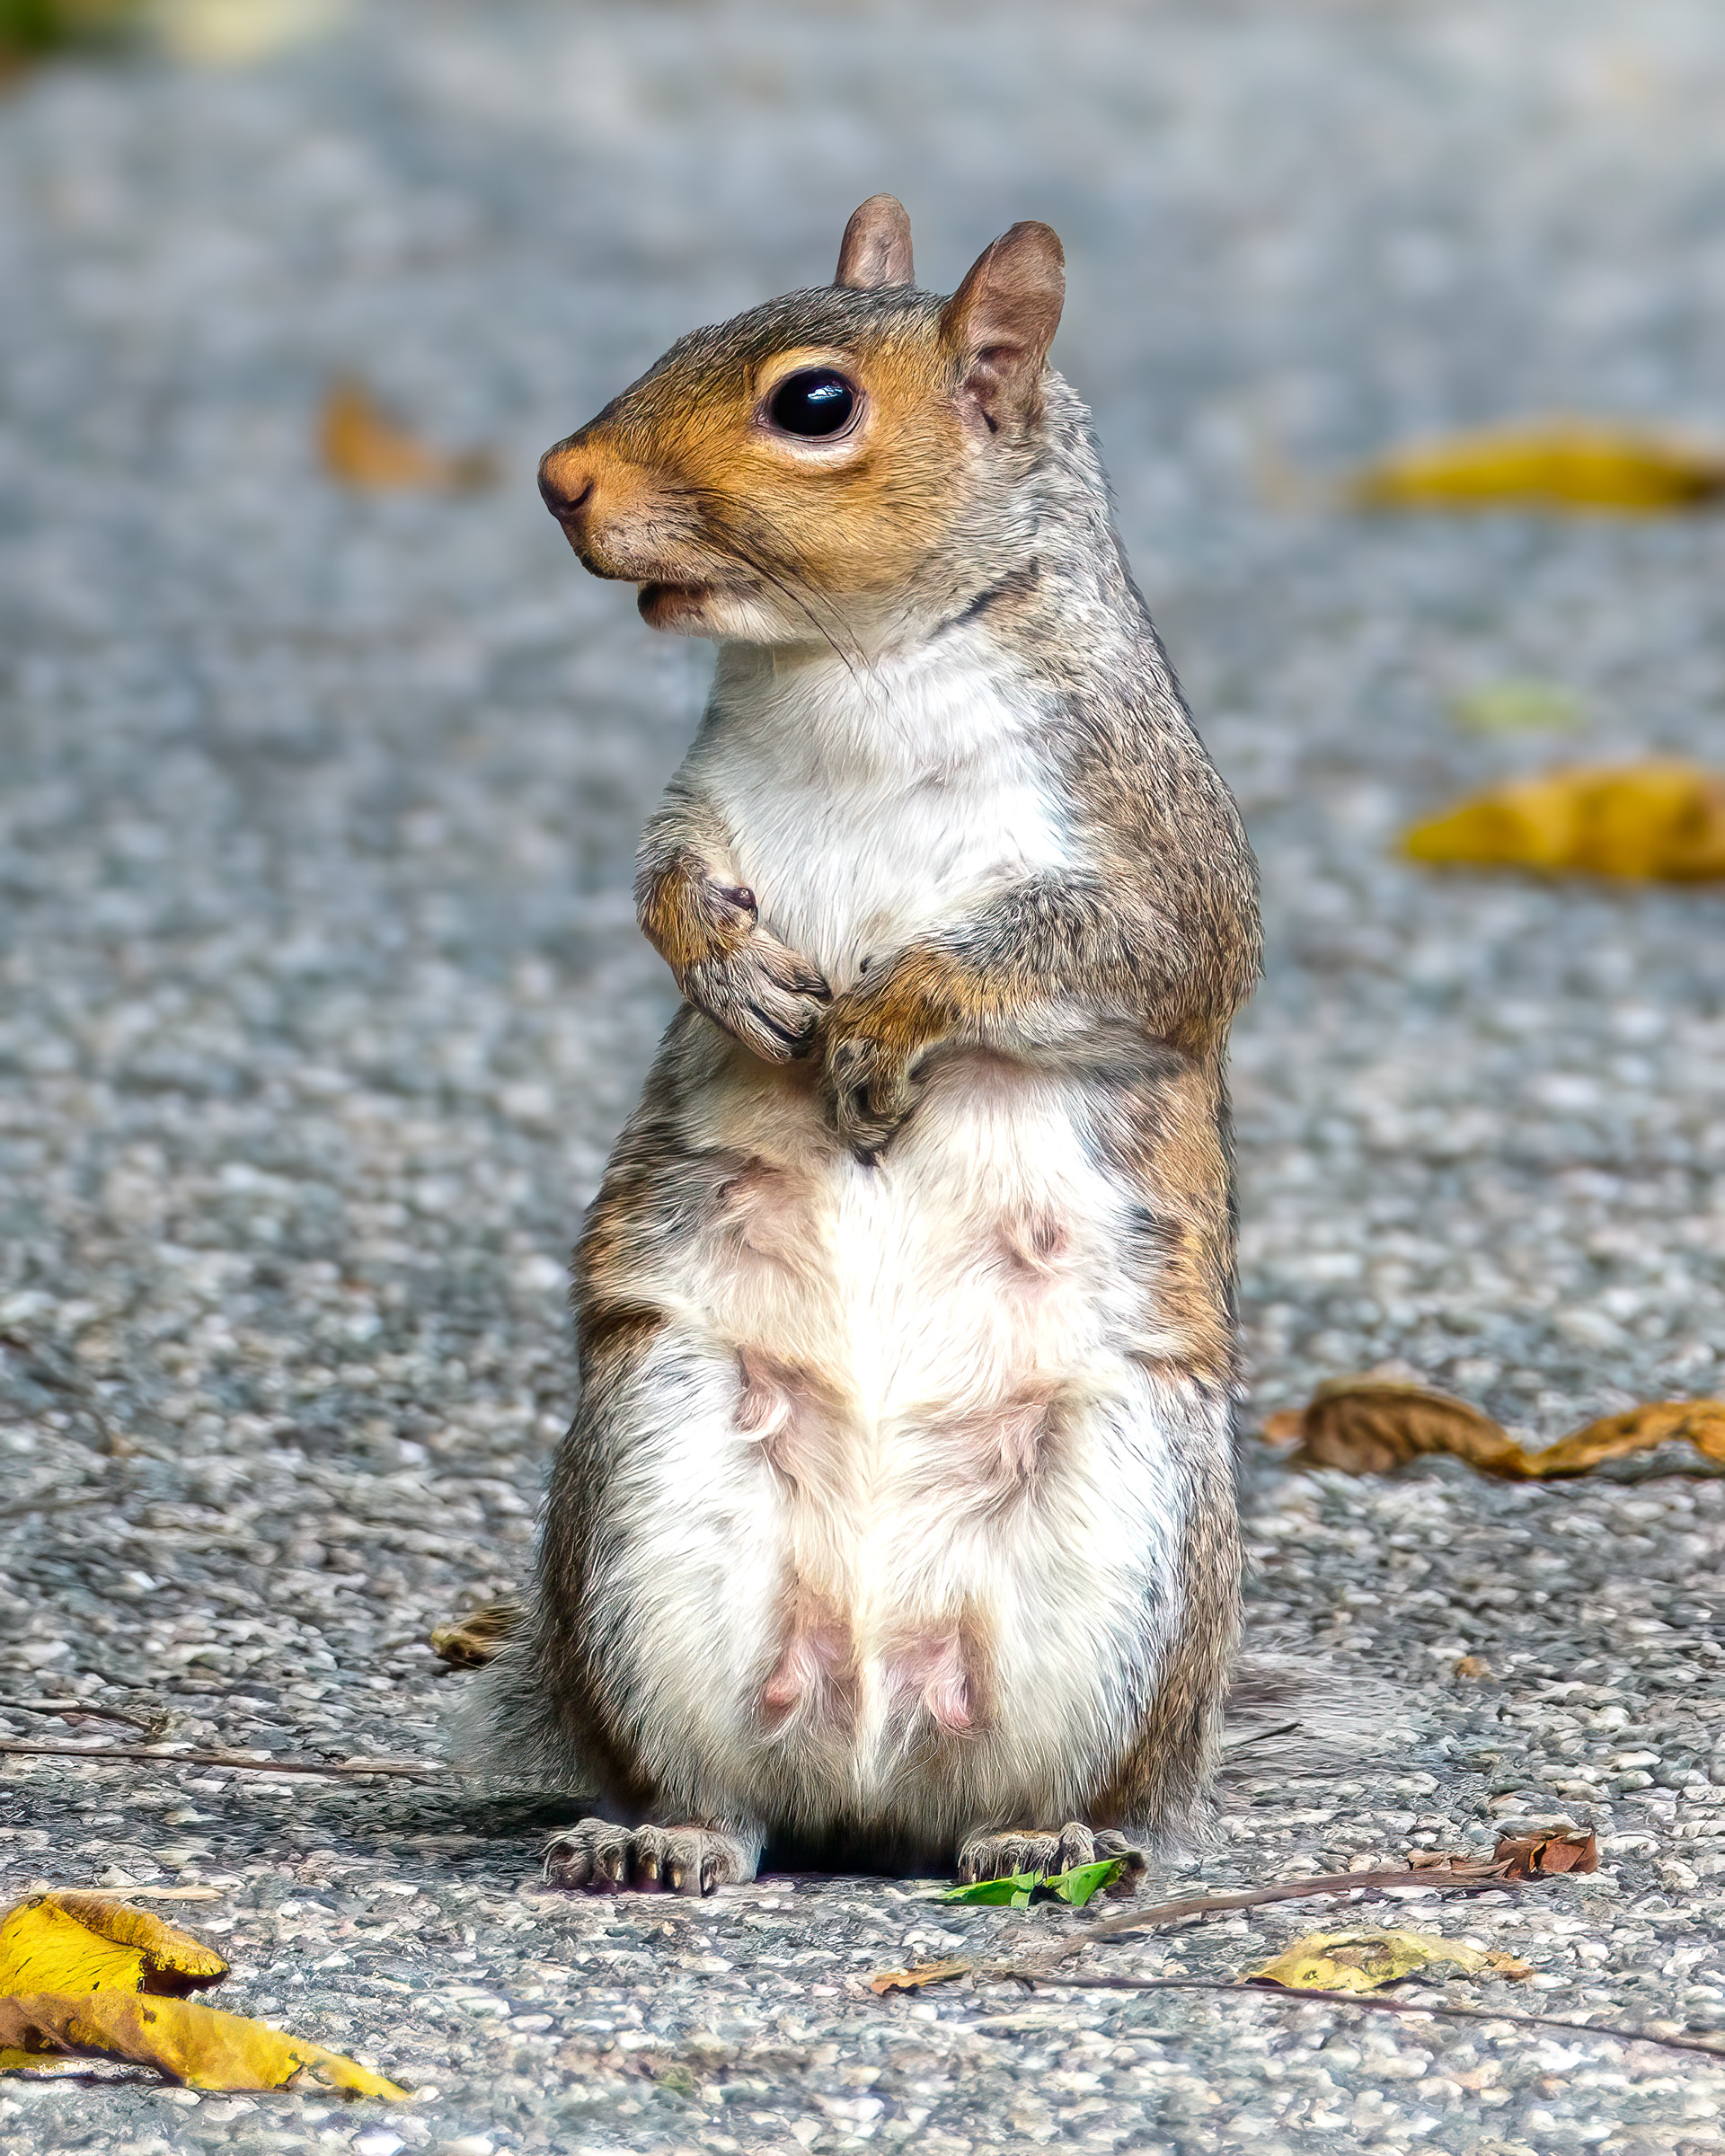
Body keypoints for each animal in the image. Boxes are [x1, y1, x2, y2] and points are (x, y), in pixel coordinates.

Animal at [471, 197, 1263, 1897]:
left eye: (815, 405)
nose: (561, 477)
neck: (852, 662)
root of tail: (869, 1740)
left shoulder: (1153, 856)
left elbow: (1116, 958)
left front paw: (885, 1020)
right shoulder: (706, 799)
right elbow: (662, 883)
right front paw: (724, 969)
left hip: (1133, 1544)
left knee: (1040, 1793)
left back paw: (1042, 1834)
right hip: (651, 1487)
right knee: (719, 1784)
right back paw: (665, 1839)